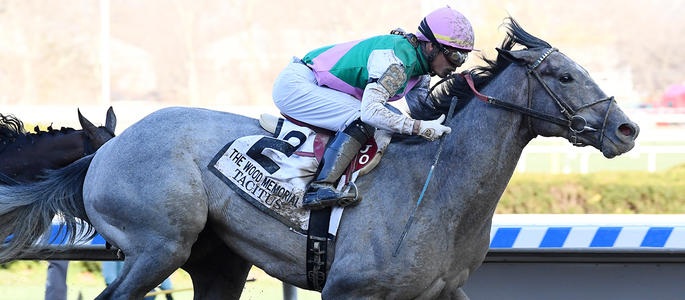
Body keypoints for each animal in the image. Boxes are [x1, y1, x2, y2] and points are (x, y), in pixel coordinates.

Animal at [2, 19, 640, 300]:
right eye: (564, 76)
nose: (627, 128)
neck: (438, 194)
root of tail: (106, 149)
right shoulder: (348, 291)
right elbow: (372, 109)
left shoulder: (443, 292)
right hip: (157, 247)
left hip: (217, 262)